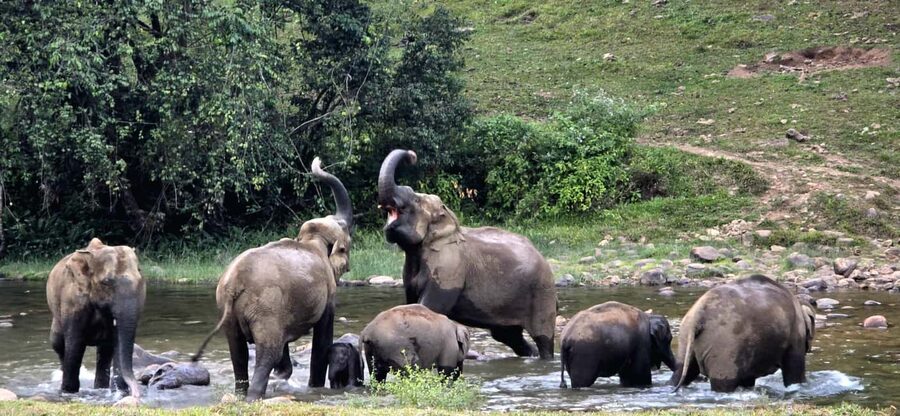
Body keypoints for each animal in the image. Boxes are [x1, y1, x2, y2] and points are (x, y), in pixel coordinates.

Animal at [46, 238, 145, 399]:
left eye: (141, 278)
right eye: (106, 281)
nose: (136, 395)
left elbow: (117, 341)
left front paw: (119, 393)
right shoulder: (72, 298)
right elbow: (75, 342)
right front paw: (68, 392)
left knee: (105, 351)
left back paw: (100, 388)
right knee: (58, 344)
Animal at [192, 157, 352, 401]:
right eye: (348, 246)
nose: (318, 160)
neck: (311, 240)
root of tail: (233, 284)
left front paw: (284, 376)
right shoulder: (327, 293)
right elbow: (322, 337)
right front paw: (314, 387)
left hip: (232, 316)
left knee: (238, 353)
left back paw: (243, 393)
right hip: (266, 309)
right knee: (268, 352)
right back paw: (254, 396)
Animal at [376, 149, 557, 359]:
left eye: (416, 200)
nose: (412, 156)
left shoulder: (448, 267)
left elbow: (430, 307)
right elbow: (412, 304)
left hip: (542, 292)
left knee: (543, 338)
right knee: (509, 336)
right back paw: (530, 355)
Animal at [670, 274, 817, 392]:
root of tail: (699, 313)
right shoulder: (795, 334)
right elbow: (794, 373)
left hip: (686, 335)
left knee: (682, 372)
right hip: (725, 344)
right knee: (723, 383)